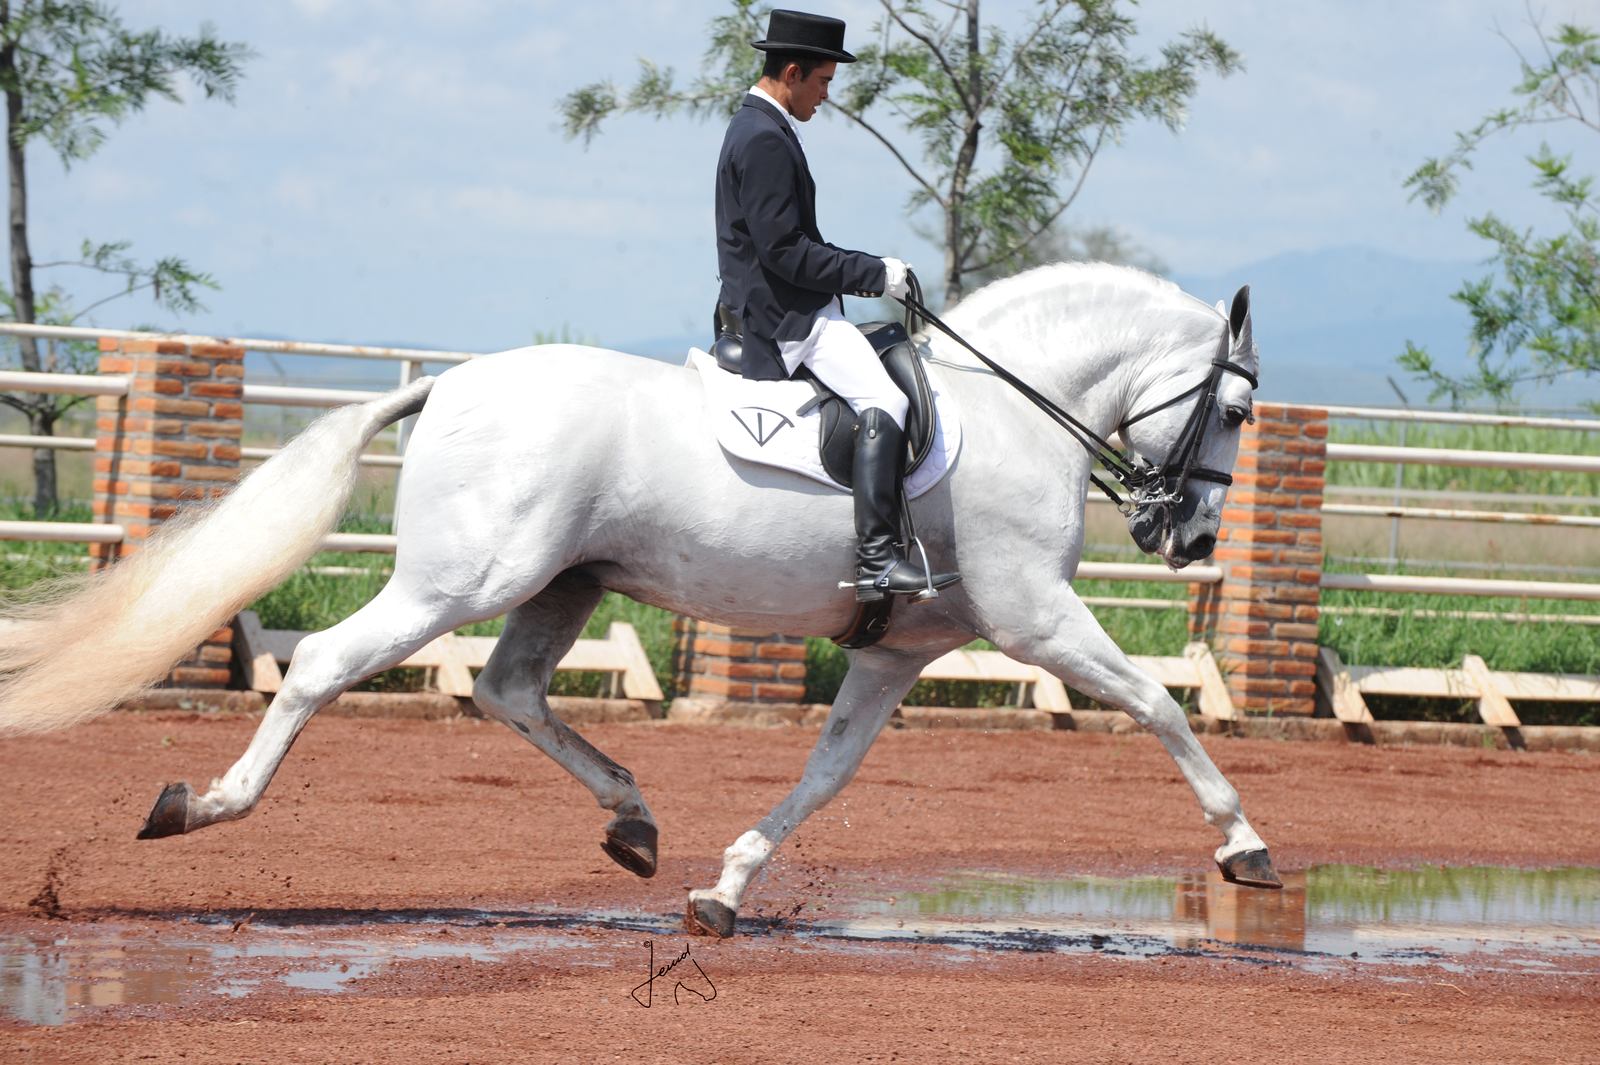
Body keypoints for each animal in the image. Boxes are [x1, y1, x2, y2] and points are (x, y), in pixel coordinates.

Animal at [0, 262, 1277, 938]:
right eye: (1235, 412)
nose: (1186, 536)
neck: (1013, 410)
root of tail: (449, 386)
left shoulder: (895, 652)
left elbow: (825, 776)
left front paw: (725, 887)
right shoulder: (1035, 618)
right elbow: (1159, 708)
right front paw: (1246, 847)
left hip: (560, 585)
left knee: (511, 691)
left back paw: (633, 820)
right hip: (466, 578)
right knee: (325, 665)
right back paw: (198, 806)